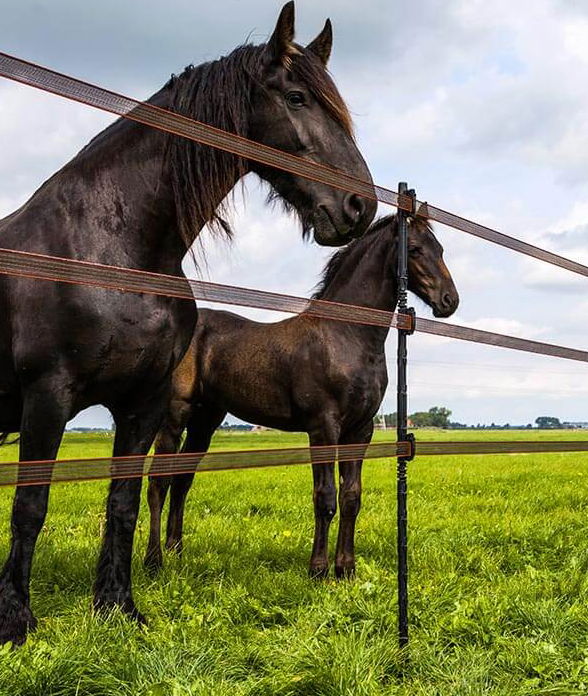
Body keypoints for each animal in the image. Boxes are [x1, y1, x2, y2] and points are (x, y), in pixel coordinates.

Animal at [0, 0, 376, 644]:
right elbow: (31, 505)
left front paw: (118, 607)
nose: (360, 206)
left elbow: (124, 500)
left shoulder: (143, 403)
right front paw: (15, 620)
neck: (109, 246)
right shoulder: (47, 396)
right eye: (298, 97)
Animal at [144, 215, 460, 580]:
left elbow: (351, 497)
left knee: (182, 481)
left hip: (205, 421)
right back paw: (154, 562)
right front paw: (318, 569)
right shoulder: (323, 428)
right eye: (416, 249)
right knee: (159, 482)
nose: (450, 300)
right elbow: (325, 497)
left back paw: (176, 551)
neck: (345, 337)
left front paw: (346, 568)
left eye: (441, 249)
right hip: (175, 417)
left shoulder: (360, 430)